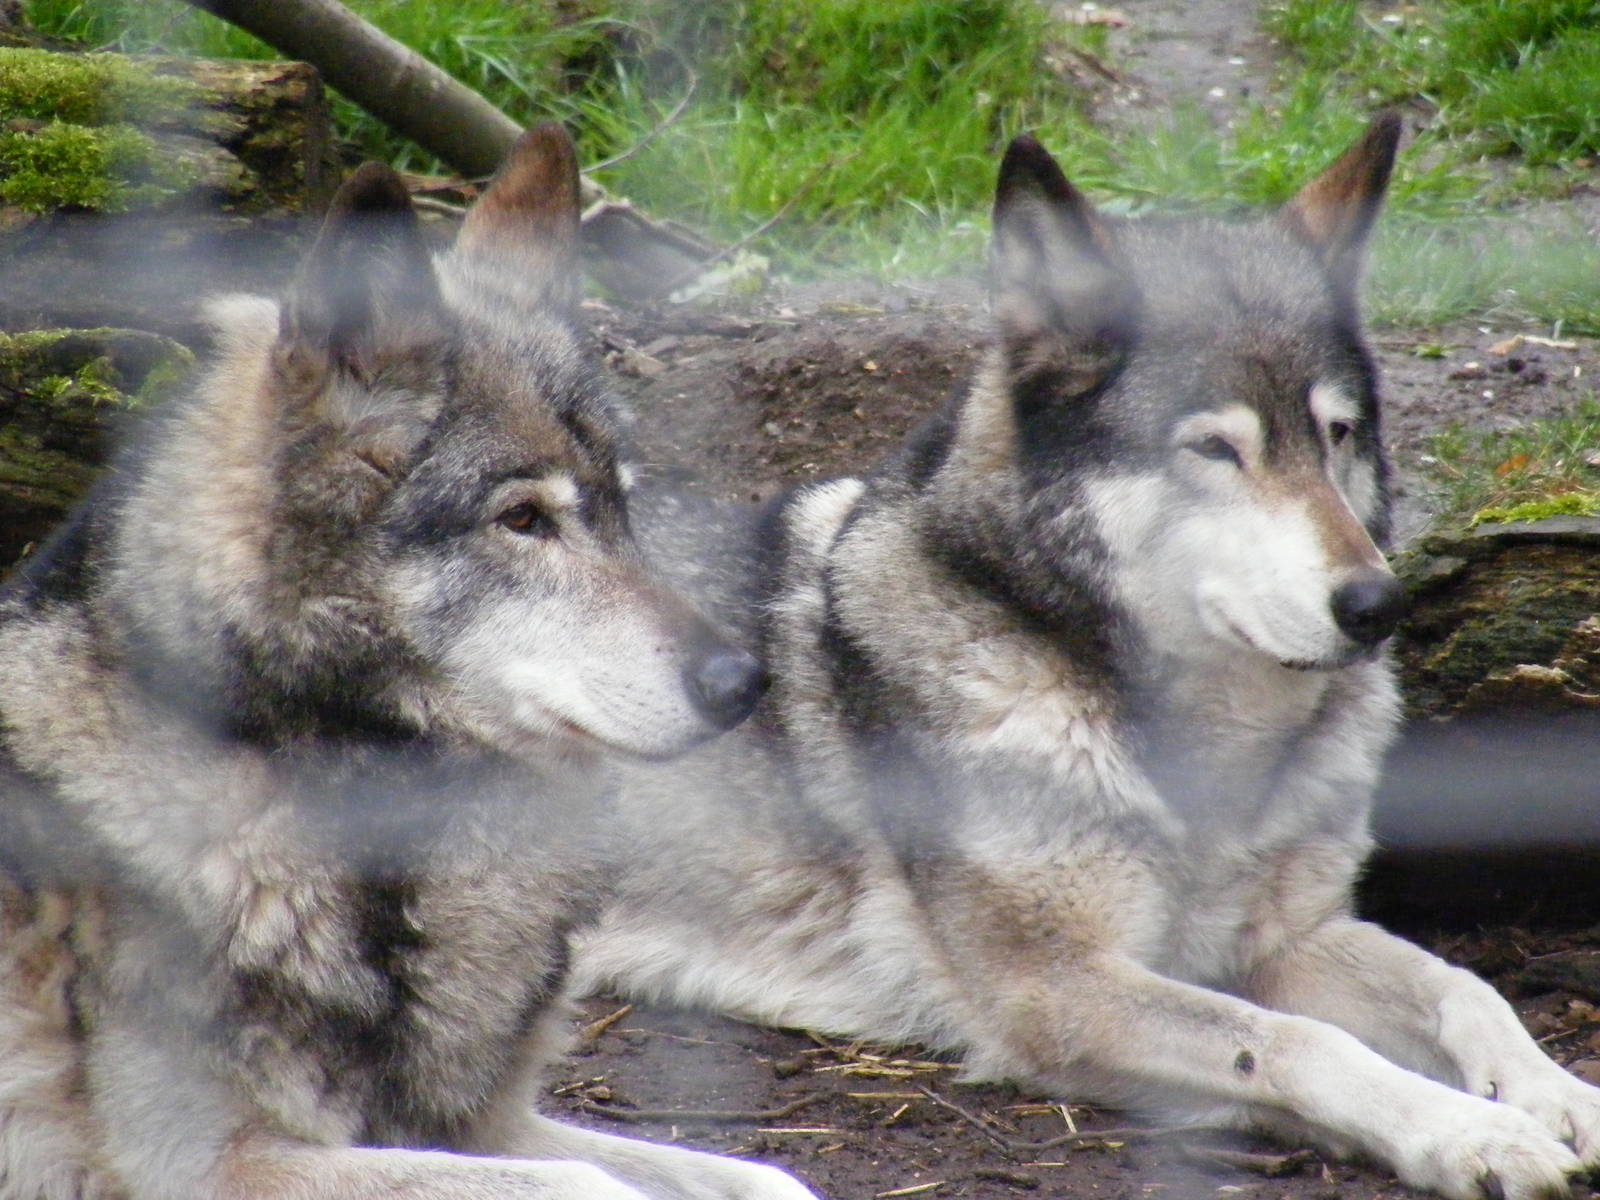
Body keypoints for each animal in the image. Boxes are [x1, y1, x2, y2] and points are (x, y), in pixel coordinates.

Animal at [0, 123, 816, 1200]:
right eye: (523, 520)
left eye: (621, 507)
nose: (742, 681)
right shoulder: (219, 1164)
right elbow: (595, 1186)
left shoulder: (488, 1121)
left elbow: (771, 1178)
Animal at [577, 113, 1600, 1200]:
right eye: (1215, 449)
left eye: (1336, 434)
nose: (1377, 605)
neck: (1202, 757)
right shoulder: (1057, 989)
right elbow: (1294, 1044)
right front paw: (1471, 1132)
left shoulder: (1287, 940)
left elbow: (1466, 987)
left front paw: (1553, 1095)